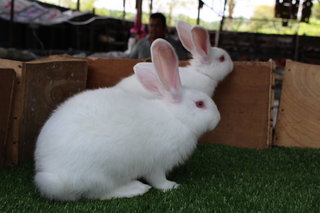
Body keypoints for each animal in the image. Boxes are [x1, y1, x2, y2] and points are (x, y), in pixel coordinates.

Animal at [33, 38, 221, 201]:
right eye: (200, 104)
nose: (218, 118)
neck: (176, 117)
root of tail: (52, 175)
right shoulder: (157, 164)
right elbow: (158, 180)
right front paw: (172, 186)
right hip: (102, 174)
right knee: (100, 194)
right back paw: (136, 188)